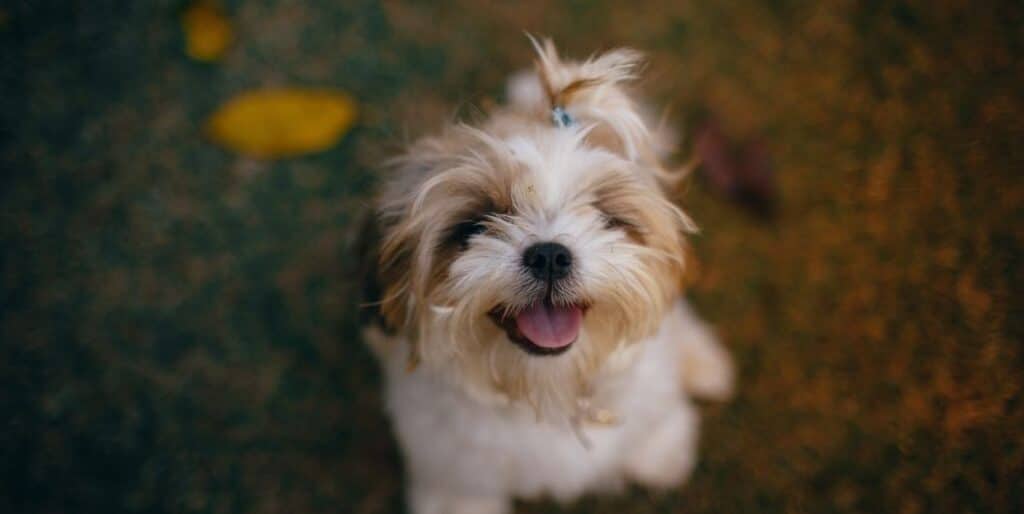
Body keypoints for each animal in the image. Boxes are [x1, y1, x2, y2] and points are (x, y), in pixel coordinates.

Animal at [360, 38, 737, 511]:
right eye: (474, 225)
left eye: (605, 216)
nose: (550, 256)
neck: (550, 389)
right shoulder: (453, 467)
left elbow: (655, 417)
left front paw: (659, 452)